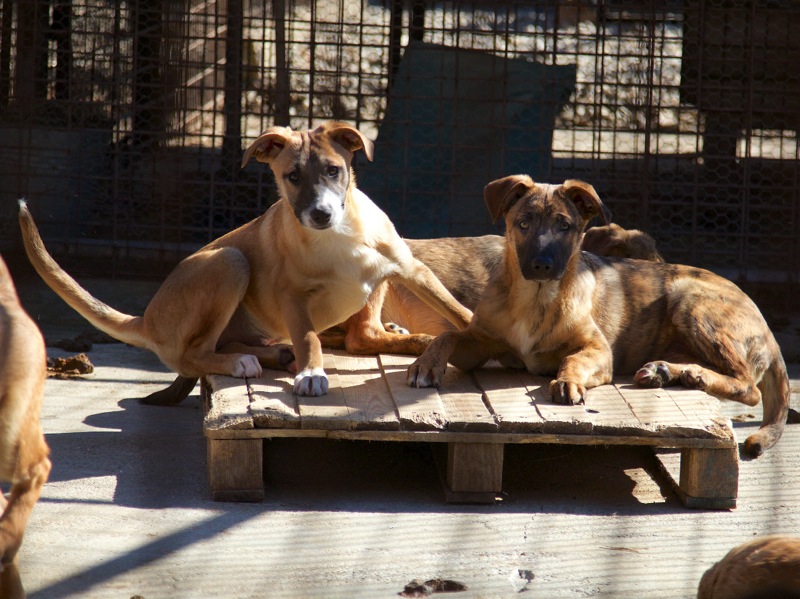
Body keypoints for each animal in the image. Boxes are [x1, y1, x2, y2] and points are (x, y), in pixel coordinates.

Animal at [18, 121, 472, 401]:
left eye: (333, 170)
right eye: (292, 176)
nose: (320, 214)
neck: (339, 236)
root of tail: (147, 319)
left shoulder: (411, 270)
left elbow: (459, 311)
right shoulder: (293, 296)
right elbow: (309, 337)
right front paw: (312, 373)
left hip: (369, 285)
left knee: (363, 333)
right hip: (229, 262)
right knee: (196, 353)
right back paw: (242, 362)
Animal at [407, 174, 791, 456]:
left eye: (565, 226)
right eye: (524, 223)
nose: (541, 265)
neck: (535, 300)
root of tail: (770, 334)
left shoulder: (599, 351)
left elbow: (573, 359)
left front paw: (567, 382)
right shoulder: (480, 343)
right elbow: (448, 335)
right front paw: (425, 365)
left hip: (690, 299)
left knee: (748, 387)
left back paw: (693, 376)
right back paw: (669, 372)